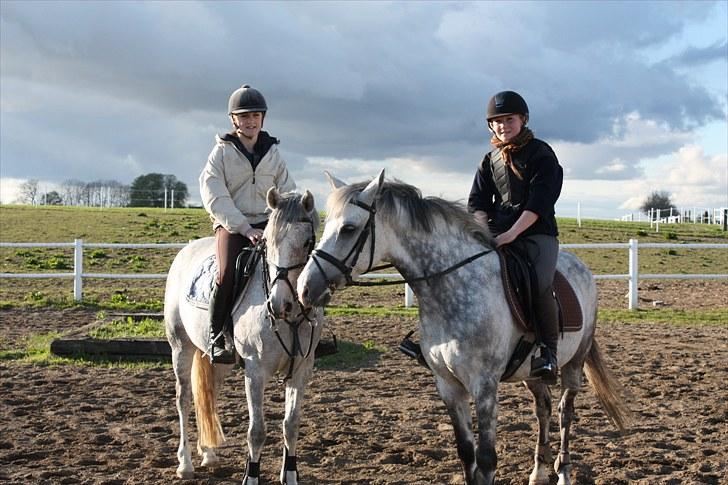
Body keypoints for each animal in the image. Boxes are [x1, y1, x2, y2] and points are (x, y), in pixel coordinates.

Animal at [164, 188, 323, 484]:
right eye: (269, 241)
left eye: (308, 242)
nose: (279, 304)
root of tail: (187, 250)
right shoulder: (255, 370)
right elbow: (257, 431)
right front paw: (251, 476)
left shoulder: (301, 369)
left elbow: (291, 425)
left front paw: (290, 475)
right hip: (180, 346)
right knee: (184, 398)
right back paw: (185, 463)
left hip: (217, 360)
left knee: (209, 395)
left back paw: (209, 454)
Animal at [297, 170, 631, 485]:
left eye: (349, 228)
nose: (304, 288)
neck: (452, 287)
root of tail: (580, 266)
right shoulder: (448, 386)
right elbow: (466, 453)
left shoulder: (484, 386)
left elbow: (486, 459)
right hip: (531, 372)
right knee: (543, 408)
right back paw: (538, 472)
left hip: (574, 363)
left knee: (564, 412)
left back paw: (563, 472)